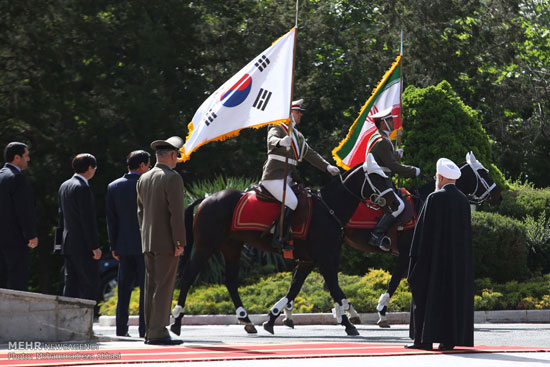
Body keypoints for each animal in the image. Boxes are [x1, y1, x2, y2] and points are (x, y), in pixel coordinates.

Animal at [170, 154, 398, 338]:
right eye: (378, 178)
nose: (396, 203)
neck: (329, 208)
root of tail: (208, 198)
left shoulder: (309, 260)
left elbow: (295, 288)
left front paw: (272, 319)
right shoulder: (324, 258)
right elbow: (333, 288)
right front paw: (347, 322)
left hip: (232, 247)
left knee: (231, 281)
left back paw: (246, 320)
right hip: (205, 246)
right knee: (189, 276)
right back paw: (177, 322)